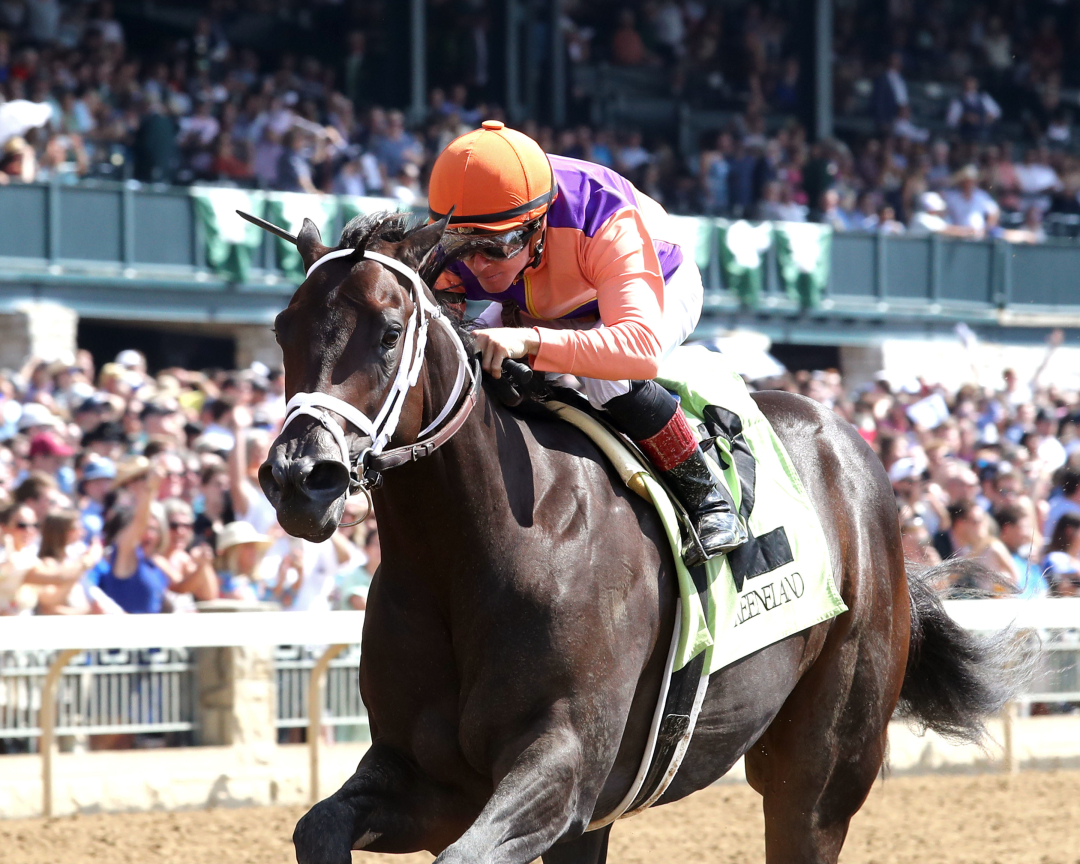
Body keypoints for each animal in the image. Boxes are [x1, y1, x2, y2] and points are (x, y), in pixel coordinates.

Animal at [256, 211, 1026, 864]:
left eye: (390, 332)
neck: (465, 554)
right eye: (283, 328)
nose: (301, 477)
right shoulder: (430, 780)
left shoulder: (562, 767)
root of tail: (849, 439)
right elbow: (316, 826)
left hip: (821, 768)